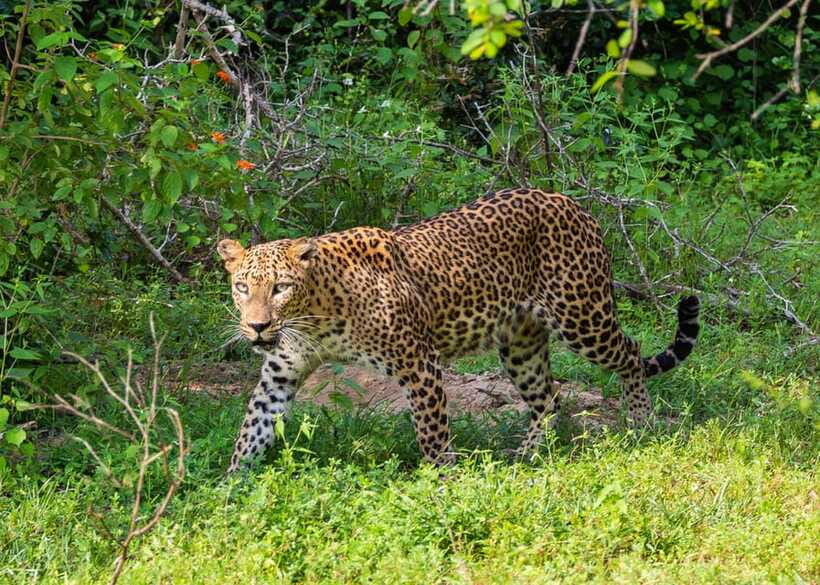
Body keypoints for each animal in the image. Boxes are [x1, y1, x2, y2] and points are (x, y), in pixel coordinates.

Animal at [218, 188, 700, 472]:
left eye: (280, 288)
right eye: (242, 287)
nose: (257, 327)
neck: (315, 315)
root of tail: (572, 202)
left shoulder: (419, 365)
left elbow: (431, 433)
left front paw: (443, 483)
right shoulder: (279, 375)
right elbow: (252, 429)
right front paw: (230, 489)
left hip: (581, 315)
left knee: (631, 351)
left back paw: (641, 423)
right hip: (521, 343)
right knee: (548, 398)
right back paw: (525, 457)